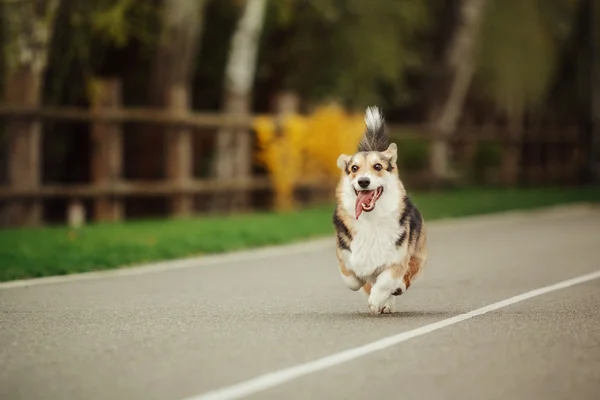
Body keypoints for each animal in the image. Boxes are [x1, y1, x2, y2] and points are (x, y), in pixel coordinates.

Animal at [332, 106, 426, 316]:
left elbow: (385, 282)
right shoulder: (345, 257)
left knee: (403, 279)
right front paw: (364, 282)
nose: (363, 181)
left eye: (378, 167)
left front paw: (376, 300)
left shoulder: (397, 259)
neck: (371, 219)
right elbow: (352, 279)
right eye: (354, 168)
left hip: (417, 254)